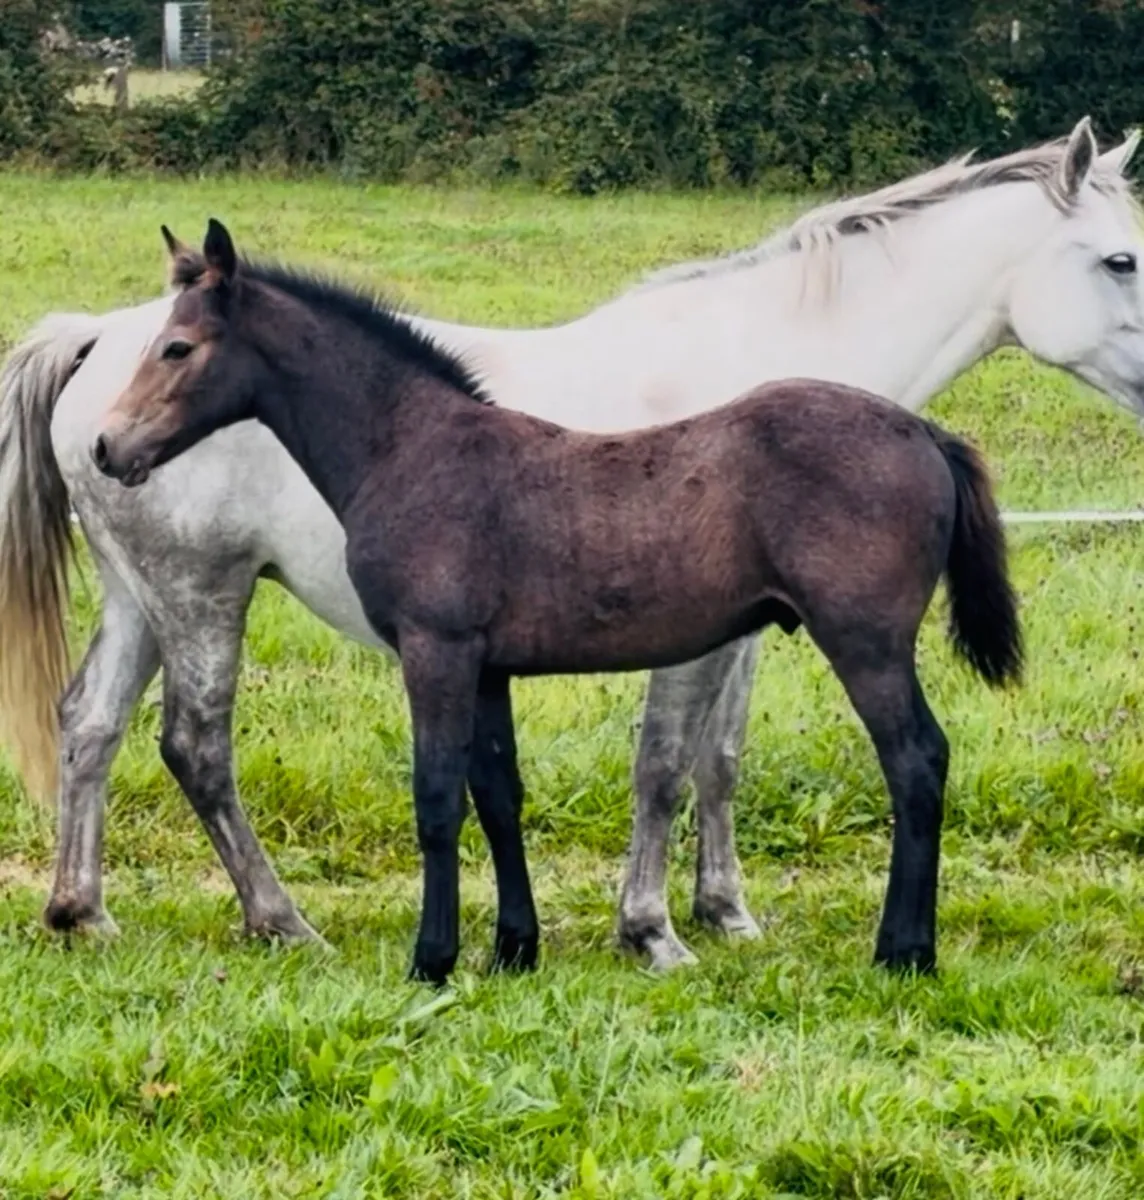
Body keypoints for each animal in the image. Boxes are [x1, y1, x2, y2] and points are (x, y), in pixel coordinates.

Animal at [1, 117, 1141, 970]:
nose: (114, 445)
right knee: (184, 742)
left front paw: (697, 917)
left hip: (151, 594)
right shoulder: (610, 645)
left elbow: (699, 761)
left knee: (96, 725)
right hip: (198, 588)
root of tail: (90, 339)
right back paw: (255, 920)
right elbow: (636, 768)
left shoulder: (695, 635)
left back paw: (92, 911)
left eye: (183, 350)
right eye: (1122, 258)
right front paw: (638, 930)